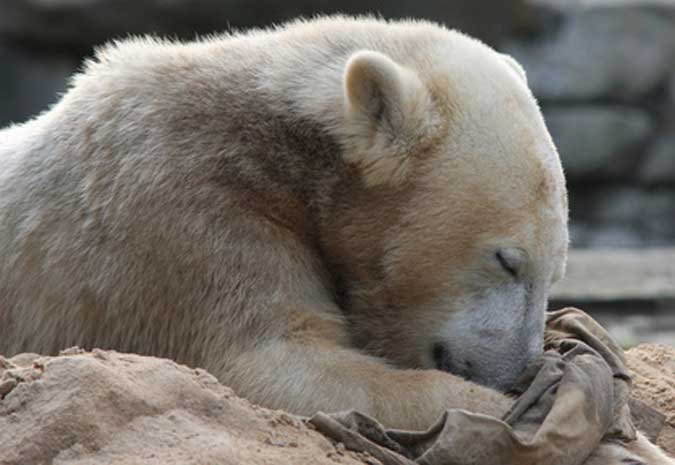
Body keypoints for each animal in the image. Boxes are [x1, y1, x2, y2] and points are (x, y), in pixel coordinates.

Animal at [0, 15, 672, 464]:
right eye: (508, 260)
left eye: (556, 271)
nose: (516, 370)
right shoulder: (179, 215)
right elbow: (273, 366)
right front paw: (572, 416)